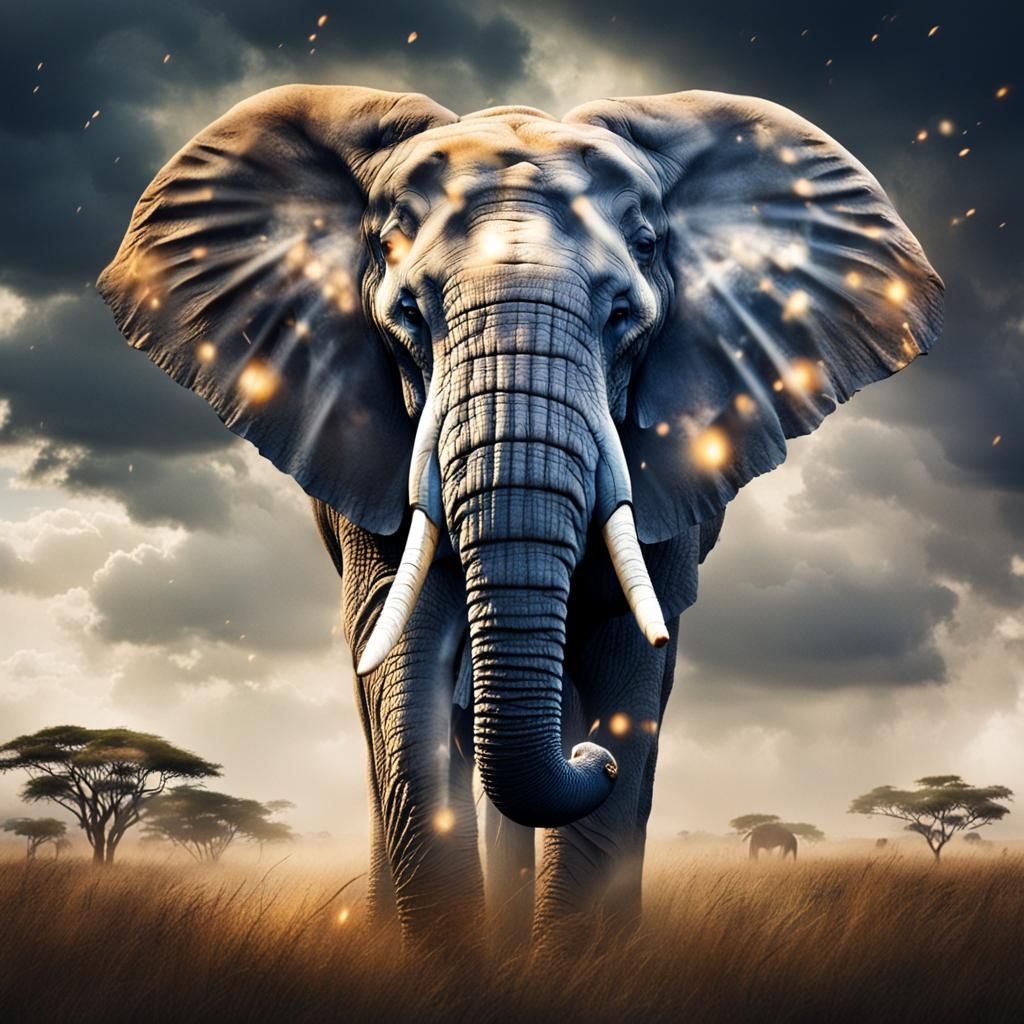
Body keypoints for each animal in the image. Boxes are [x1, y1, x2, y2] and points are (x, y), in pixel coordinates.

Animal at [97, 84, 942, 950]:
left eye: (627, 307)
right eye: (407, 310)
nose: (593, 760)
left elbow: (623, 652)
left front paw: (577, 959)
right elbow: (406, 665)